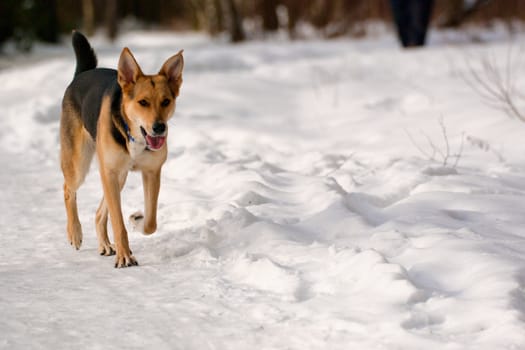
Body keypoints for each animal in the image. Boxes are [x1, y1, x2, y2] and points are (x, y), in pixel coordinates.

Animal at [58, 32, 182, 268]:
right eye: (143, 102)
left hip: (119, 176)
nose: (159, 128)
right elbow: (117, 222)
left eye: (166, 101)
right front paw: (124, 256)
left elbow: (151, 222)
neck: (134, 136)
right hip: (81, 165)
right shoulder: (110, 172)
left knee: (99, 213)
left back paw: (105, 244)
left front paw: (137, 220)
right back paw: (74, 232)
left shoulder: (151, 172)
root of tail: (82, 73)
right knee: (68, 189)